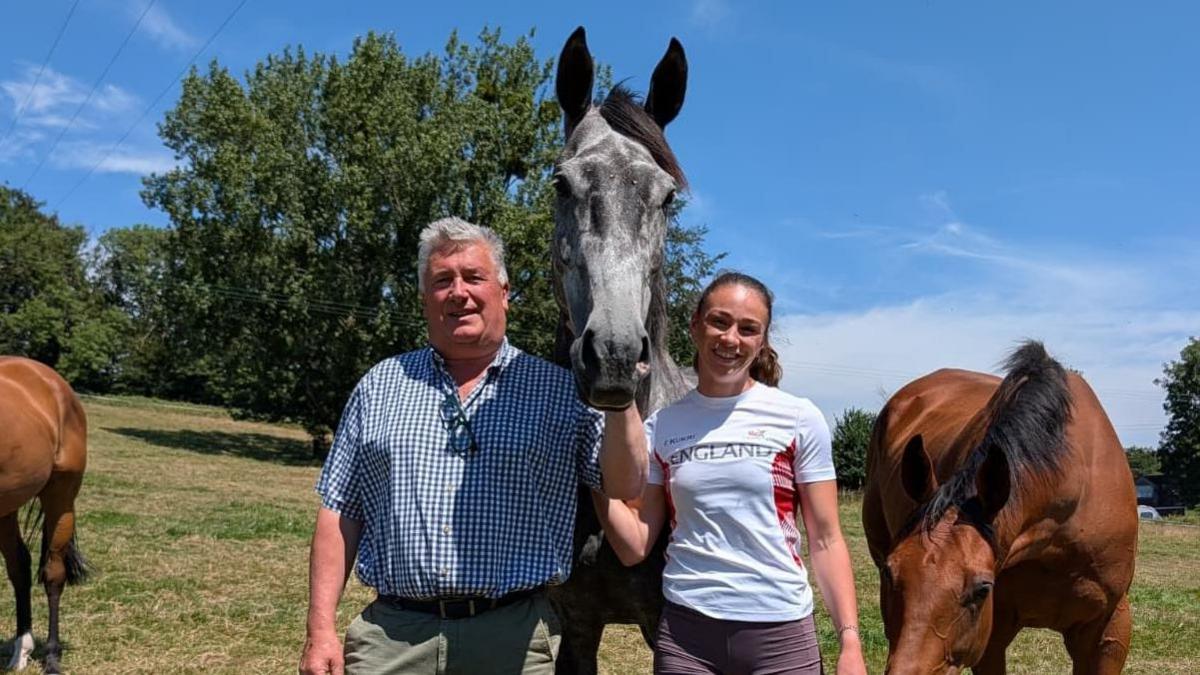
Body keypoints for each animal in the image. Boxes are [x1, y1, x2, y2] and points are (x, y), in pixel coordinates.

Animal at [0, 357, 90, 674]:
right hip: (7, 508)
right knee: (20, 568)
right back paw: (21, 650)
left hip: (61, 497)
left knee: (53, 574)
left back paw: (51, 656)